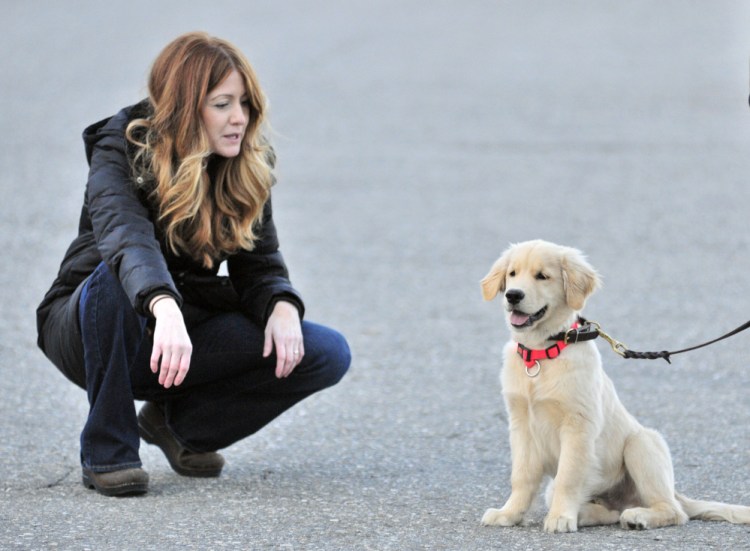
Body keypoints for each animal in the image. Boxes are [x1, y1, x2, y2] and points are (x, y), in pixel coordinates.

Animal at [482, 242, 750, 536]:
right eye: (512, 274)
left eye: (542, 276)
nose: (513, 295)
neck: (543, 353)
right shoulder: (521, 425)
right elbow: (521, 476)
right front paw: (509, 513)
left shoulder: (578, 426)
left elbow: (568, 476)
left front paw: (561, 517)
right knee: (611, 511)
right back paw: (587, 513)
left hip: (641, 444)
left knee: (673, 511)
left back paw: (638, 517)